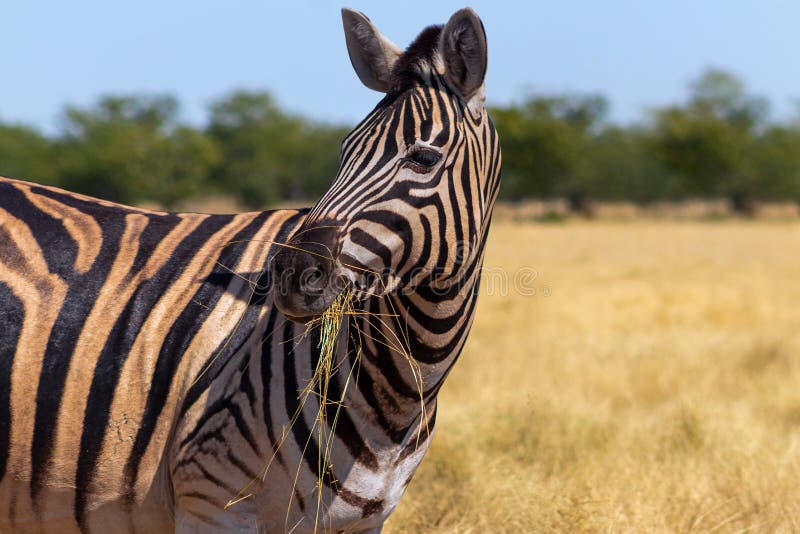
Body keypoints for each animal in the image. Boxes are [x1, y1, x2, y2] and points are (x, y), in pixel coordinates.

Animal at [0, 8, 500, 534]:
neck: (398, 390)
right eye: (344, 151)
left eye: (423, 158)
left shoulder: (363, 521)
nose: (292, 274)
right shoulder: (212, 501)